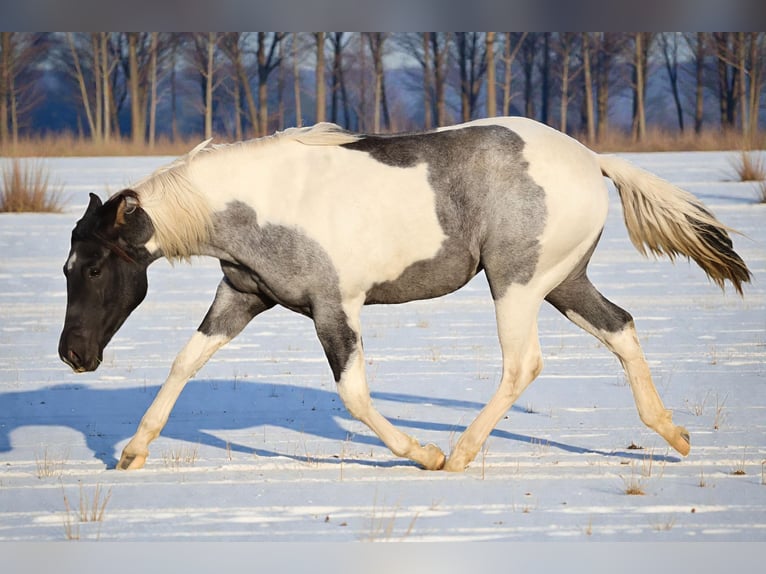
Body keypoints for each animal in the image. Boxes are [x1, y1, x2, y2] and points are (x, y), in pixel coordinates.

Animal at [58, 117, 751, 472]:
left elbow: (355, 394)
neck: (259, 202)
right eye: (67, 266)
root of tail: (592, 158)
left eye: (91, 269)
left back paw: (462, 452)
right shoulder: (241, 297)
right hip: (565, 282)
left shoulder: (335, 308)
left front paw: (422, 453)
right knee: (622, 327)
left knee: (522, 364)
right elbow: (184, 363)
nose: (72, 355)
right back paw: (673, 435)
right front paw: (132, 452)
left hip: (517, 285)